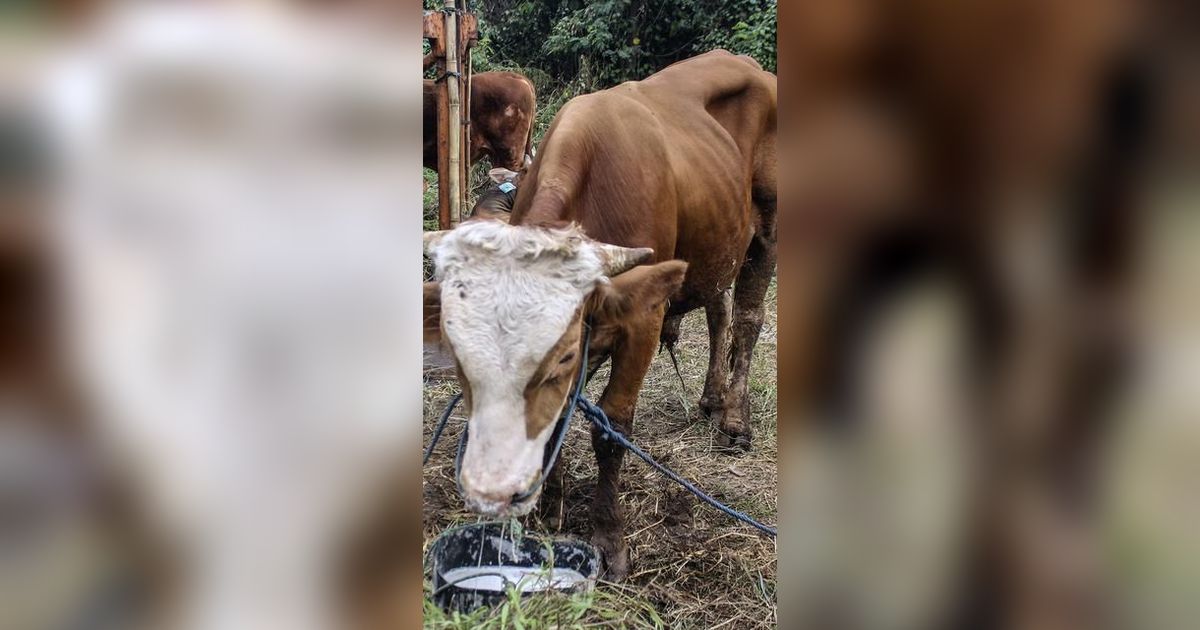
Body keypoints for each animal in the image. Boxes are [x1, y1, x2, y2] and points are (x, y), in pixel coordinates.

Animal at [422, 51, 777, 578]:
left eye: (562, 358)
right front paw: (550, 504)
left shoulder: (644, 317)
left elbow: (612, 428)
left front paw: (609, 539)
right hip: (716, 244)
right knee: (719, 309)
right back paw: (712, 400)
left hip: (767, 233)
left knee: (749, 321)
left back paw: (735, 419)